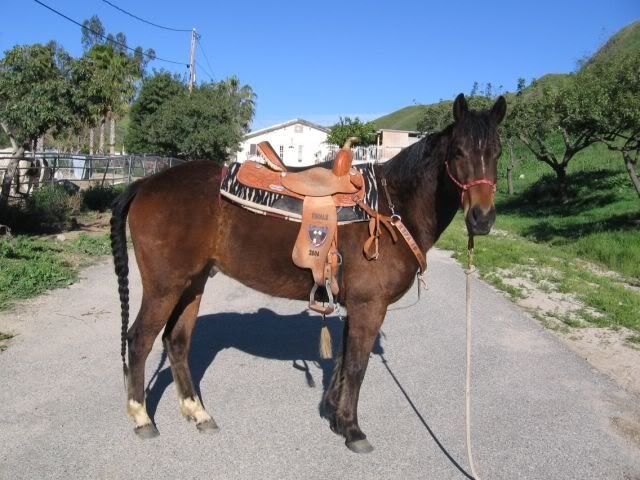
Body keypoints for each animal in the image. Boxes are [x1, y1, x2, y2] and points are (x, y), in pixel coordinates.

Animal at [112, 94, 508, 454]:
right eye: (457, 152)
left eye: (498, 152)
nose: (481, 218)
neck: (390, 205)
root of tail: (146, 184)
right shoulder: (370, 306)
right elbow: (358, 365)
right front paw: (353, 430)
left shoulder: (356, 307)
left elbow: (344, 362)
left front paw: (336, 418)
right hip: (165, 286)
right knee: (140, 339)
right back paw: (142, 418)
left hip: (192, 284)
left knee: (176, 342)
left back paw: (199, 413)